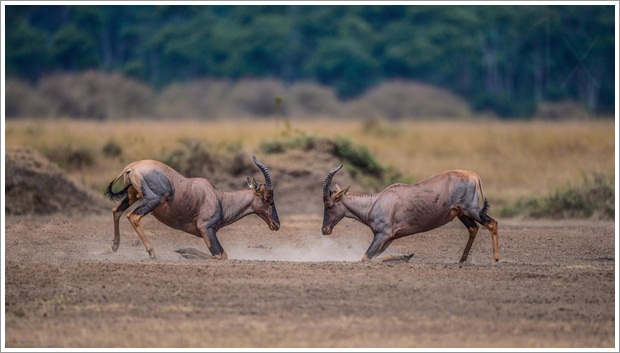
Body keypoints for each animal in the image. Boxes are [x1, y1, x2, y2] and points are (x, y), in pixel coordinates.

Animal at [105, 155, 280, 260]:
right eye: (268, 197)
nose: (276, 224)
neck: (218, 197)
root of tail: (133, 166)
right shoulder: (205, 228)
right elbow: (221, 255)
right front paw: (183, 252)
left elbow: (222, 255)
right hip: (152, 199)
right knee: (133, 216)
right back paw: (152, 252)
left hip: (132, 195)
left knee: (116, 211)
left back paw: (114, 246)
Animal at [320, 165, 498, 264]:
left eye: (328, 204)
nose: (324, 230)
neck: (375, 201)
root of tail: (473, 175)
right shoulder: (389, 238)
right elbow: (373, 256)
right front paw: (407, 255)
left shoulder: (383, 235)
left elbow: (366, 258)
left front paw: (407, 256)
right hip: (461, 213)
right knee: (473, 229)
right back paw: (461, 260)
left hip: (471, 209)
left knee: (492, 223)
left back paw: (495, 259)